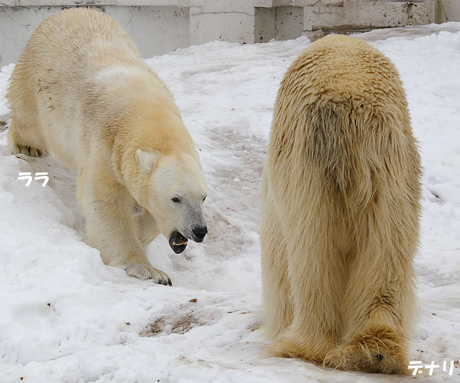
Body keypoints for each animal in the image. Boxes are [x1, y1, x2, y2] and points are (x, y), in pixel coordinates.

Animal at [6, 8, 208, 284]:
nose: (199, 230)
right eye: (176, 198)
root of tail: (70, 10)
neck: (148, 116)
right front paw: (148, 269)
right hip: (36, 78)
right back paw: (26, 146)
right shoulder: (105, 145)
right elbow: (104, 200)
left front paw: (140, 231)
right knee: (29, 121)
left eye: (203, 197)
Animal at [260, 36, 422, 376]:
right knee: (387, 251)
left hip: (308, 166)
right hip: (391, 171)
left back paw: (303, 346)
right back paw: (375, 351)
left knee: (312, 254)